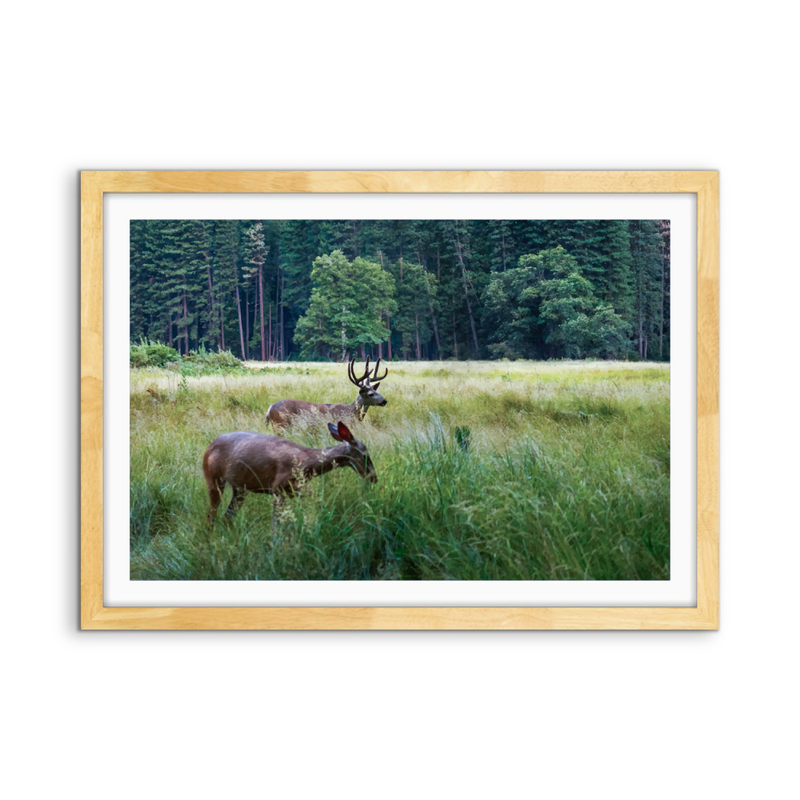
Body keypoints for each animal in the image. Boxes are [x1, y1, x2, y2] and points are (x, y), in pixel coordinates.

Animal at [203, 420, 377, 527]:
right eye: (365, 456)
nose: (374, 478)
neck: (307, 463)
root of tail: (209, 447)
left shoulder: (292, 490)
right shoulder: (279, 487)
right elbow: (276, 524)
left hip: (240, 488)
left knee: (228, 516)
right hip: (213, 478)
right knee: (211, 516)